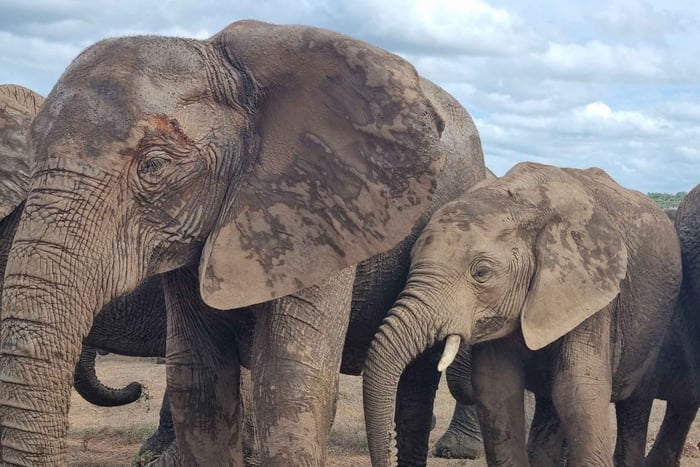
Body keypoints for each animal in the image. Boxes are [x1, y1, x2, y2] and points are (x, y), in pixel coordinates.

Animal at [0, 20, 487, 466]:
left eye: (154, 165)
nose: (134, 388)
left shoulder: (319, 210)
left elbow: (289, 383)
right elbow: (198, 382)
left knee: (416, 389)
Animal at [363, 161, 682, 467]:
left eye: (482, 273)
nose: (390, 454)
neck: (525, 202)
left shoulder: (595, 297)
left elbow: (578, 392)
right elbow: (497, 389)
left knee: (634, 403)